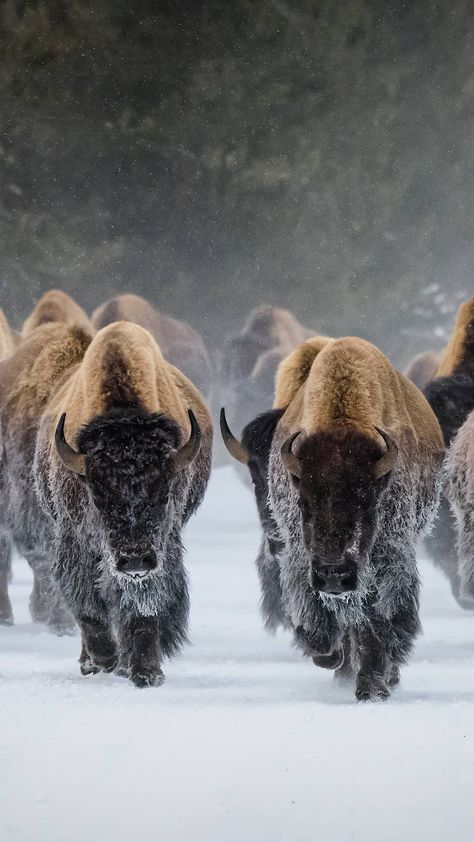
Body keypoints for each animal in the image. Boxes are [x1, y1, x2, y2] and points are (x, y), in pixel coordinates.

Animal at [33, 320, 211, 684]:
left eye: (165, 493)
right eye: (97, 496)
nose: (134, 560)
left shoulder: (161, 549)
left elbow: (142, 606)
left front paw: (146, 672)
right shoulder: (76, 542)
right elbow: (88, 606)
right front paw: (102, 659)